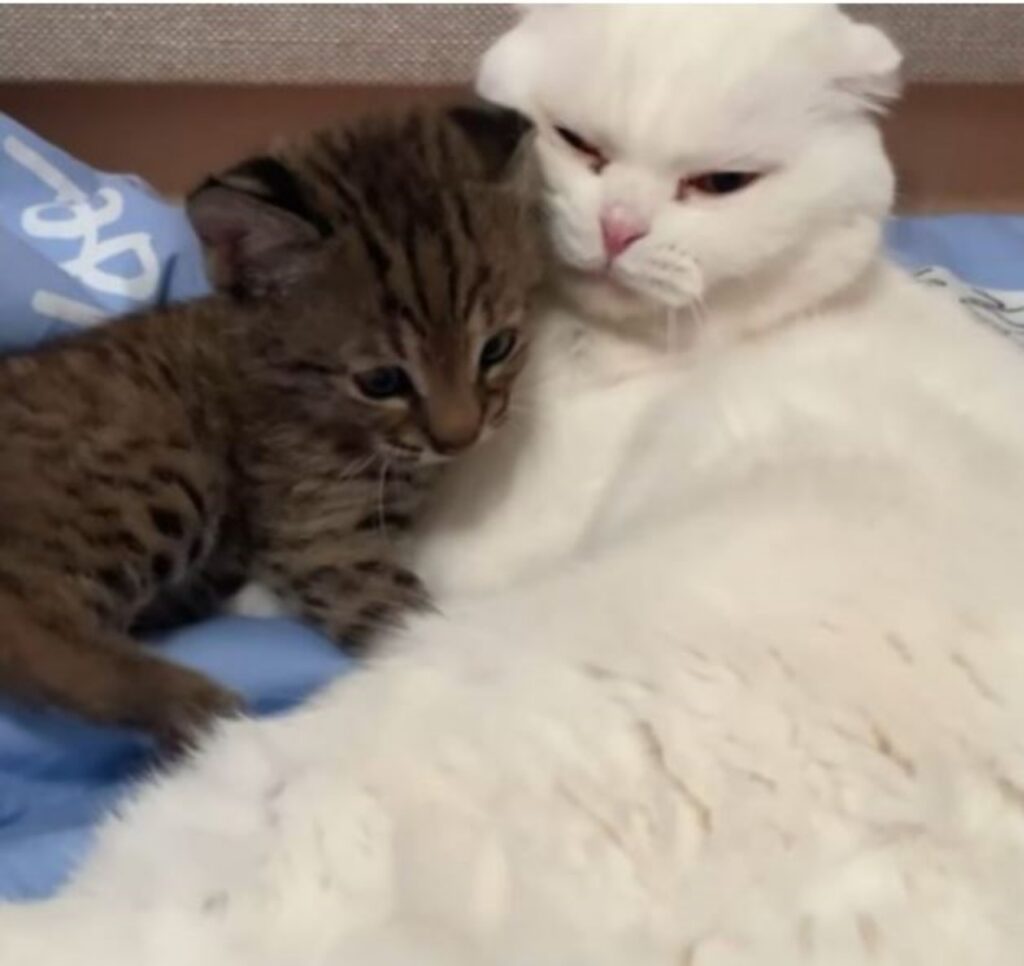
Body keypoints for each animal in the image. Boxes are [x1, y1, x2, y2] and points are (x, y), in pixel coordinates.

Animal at [0, 103, 544, 749]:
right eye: (382, 381)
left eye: (498, 347)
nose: (460, 439)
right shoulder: (320, 536)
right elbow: (411, 620)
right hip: (166, 463)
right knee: (23, 621)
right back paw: (198, 709)